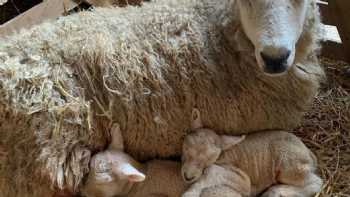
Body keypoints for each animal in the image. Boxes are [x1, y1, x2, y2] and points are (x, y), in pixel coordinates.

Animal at [182, 109, 324, 197]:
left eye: (211, 158)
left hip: (289, 163)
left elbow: (211, 170)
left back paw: (275, 192)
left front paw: (190, 193)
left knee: (317, 182)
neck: (223, 155)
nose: (188, 177)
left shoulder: (245, 182)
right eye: (186, 148)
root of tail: (308, 151)